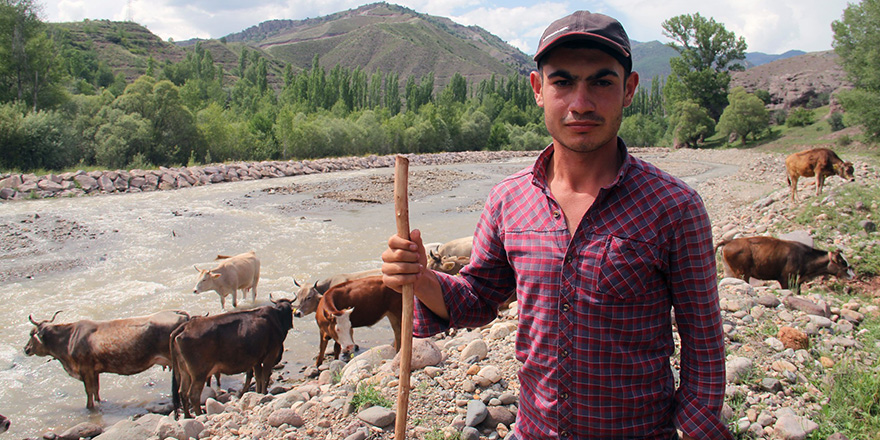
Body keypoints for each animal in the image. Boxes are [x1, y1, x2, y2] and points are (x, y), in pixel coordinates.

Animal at [716, 235, 852, 294]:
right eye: (842, 262)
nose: (852, 275)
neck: (805, 257)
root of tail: (729, 241)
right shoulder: (785, 279)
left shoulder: (797, 282)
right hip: (742, 273)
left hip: (729, 271)